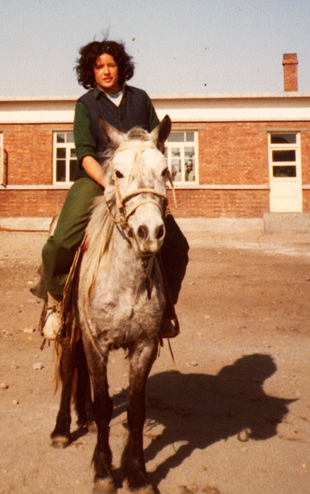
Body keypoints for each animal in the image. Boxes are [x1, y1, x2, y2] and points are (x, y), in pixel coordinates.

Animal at [48, 115, 172, 494]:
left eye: (165, 170)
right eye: (116, 172)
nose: (149, 232)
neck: (127, 281)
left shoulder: (145, 345)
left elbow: (135, 410)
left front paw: (138, 474)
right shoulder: (95, 341)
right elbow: (105, 405)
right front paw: (104, 471)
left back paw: (83, 417)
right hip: (69, 327)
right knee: (69, 367)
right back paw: (62, 429)